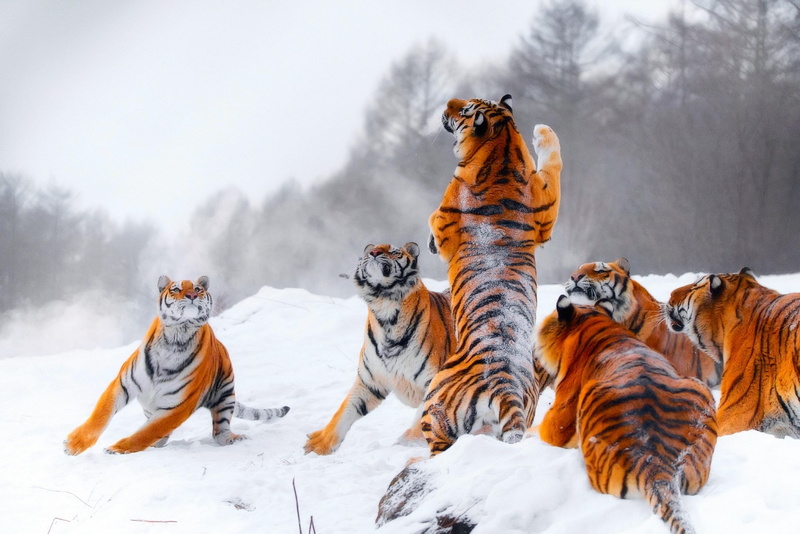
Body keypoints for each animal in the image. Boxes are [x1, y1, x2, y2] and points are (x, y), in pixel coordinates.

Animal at [64, 275, 289, 455]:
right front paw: (73, 445)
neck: (176, 338)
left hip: (225, 392)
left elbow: (147, 432)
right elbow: (100, 415)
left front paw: (117, 448)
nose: (191, 295)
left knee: (219, 430)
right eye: (176, 289)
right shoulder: (123, 384)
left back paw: (233, 438)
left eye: (198, 289)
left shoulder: (178, 406)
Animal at [304, 242, 454, 455]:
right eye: (369, 251)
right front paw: (318, 445)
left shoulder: (434, 381)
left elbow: (424, 417)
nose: (374, 253)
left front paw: (406, 443)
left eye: (394, 251)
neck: (386, 310)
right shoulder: (369, 382)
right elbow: (344, 411)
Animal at [421, 94, 562, 455]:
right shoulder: (546, 204)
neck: (502, 147)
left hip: (433, 398)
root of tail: (504, 388)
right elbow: (554, 161)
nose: (447, 102)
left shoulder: (442, 217)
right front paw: (543, 130)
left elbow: (433, 224)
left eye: (463, 109)